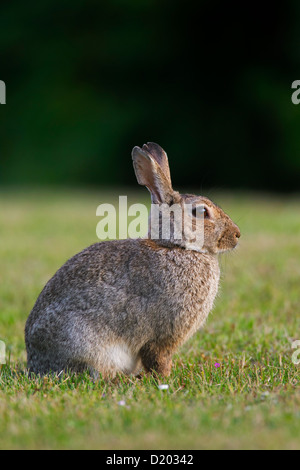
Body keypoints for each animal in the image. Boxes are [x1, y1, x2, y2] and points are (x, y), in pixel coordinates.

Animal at [25, 142, 241, 378]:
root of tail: (35, 364)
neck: (176, 247)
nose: (237, 234)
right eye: (202, 212)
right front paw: (166, 377)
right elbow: (157, 358)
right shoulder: (161, 336)